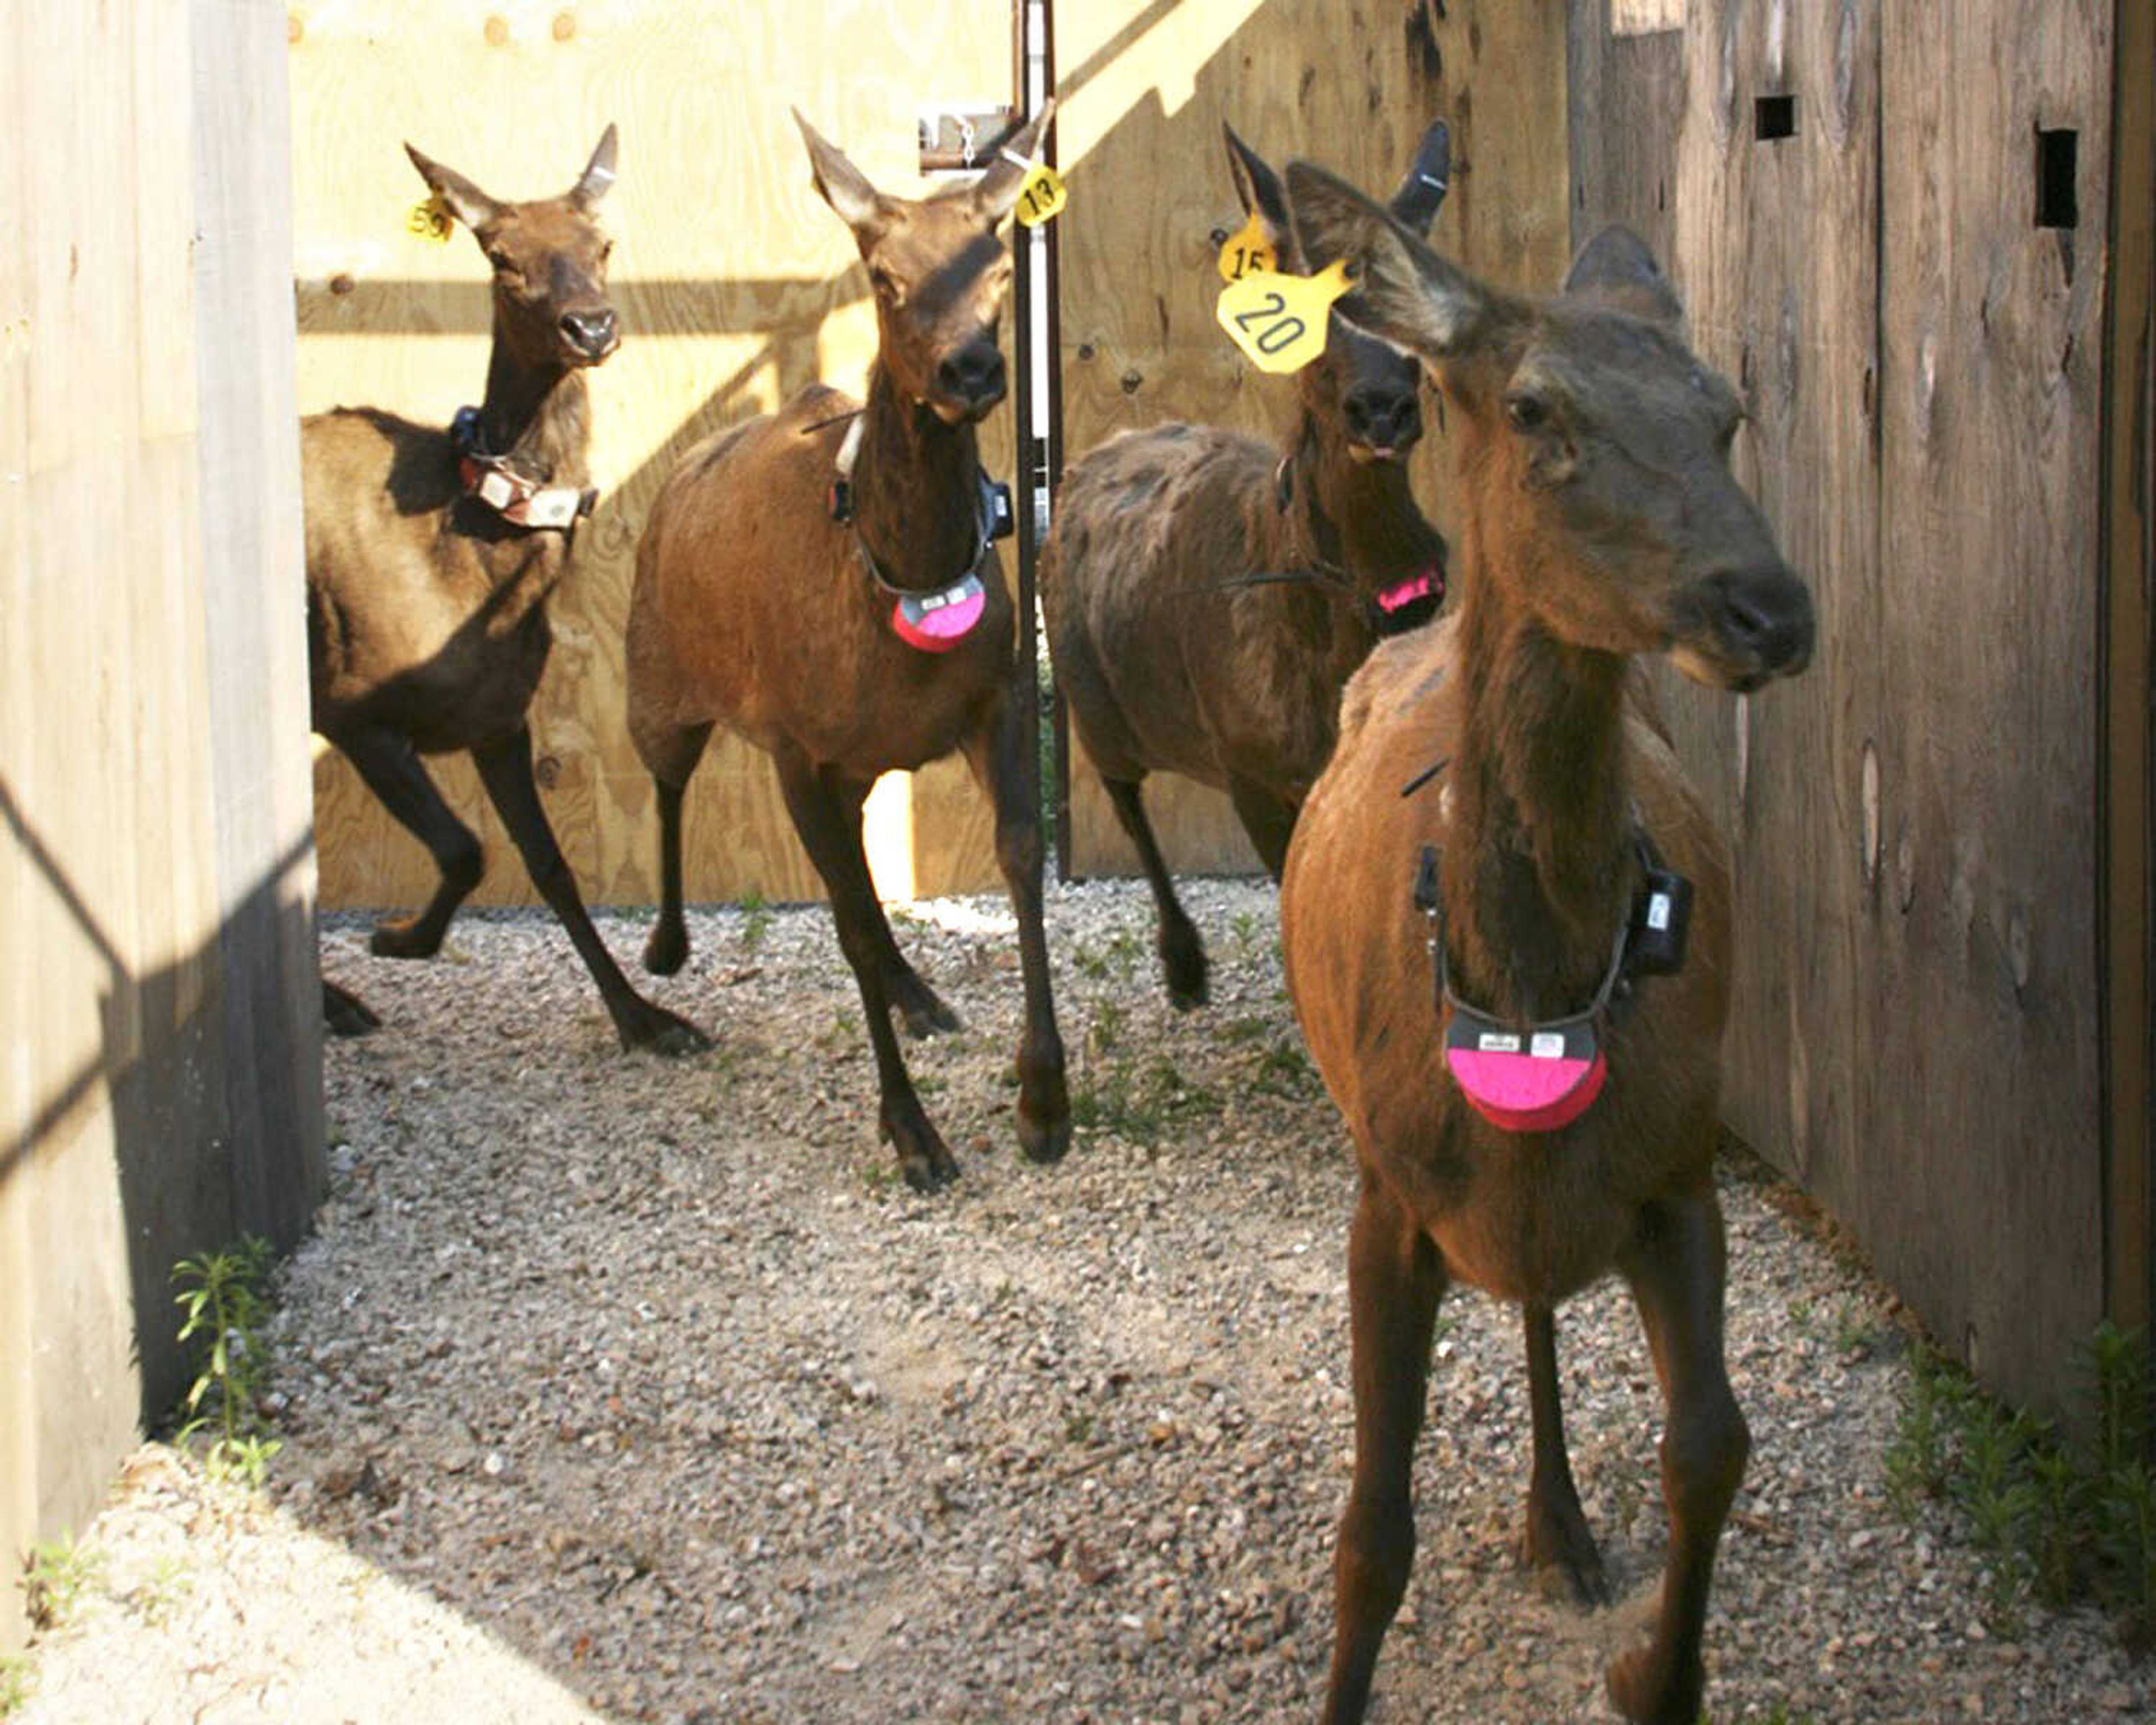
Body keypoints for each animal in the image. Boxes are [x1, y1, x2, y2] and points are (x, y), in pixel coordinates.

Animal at [306, 124, 707, 1052]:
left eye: (601, 244)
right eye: (500, 257)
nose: (590, 326)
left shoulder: (499, 718)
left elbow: (550, 864)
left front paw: (645, 1017)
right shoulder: (353, 706)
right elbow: (465, 849)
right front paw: (400, 938)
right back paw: (334, 1001)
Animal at [620, 104, 1065, 1190]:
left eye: (999, 265)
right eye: (884, 274)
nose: (972, 371)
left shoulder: (997, 693)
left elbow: (1020, 859)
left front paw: (1043, 1101)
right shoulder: (792, 743)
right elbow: (851, 924)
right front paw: (912, 1132)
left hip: (856, 763)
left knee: (855, 866)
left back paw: (921, 994)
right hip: (656, 675)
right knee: (667, 784)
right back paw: (664, 952)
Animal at [1039, 124, 1449, 1009]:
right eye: (1305, 305)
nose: (1384, 409)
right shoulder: (1250, 763)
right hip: (1094, 702)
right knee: (1123, 796)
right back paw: (1183, 964)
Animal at [1276, 165, 1819, 1725]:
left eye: (1723, 408)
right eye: (1530, 406)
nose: (1769, 608)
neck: (1530, 996)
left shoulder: (1682, 1173)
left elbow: (1713, 1444)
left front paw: (1657, 1671)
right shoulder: (1384, 1197)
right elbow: (1369, 1533)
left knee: (1534, 1300)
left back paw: (1560, 1521)